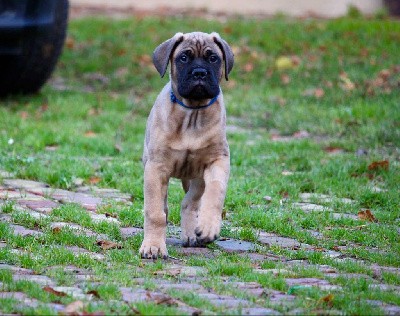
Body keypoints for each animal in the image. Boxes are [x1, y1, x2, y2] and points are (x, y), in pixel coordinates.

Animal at [140, 31, 234, 260]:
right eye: (183, 58)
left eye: (213, 58)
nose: (199, 73)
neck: (192, 114)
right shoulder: (156, 168)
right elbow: (155, 211)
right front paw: (153, 246)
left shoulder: (218, 160)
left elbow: (214, 192)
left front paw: (208, 226)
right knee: (165, 205)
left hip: (196, 176)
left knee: (191, 201)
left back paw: (194, 233)